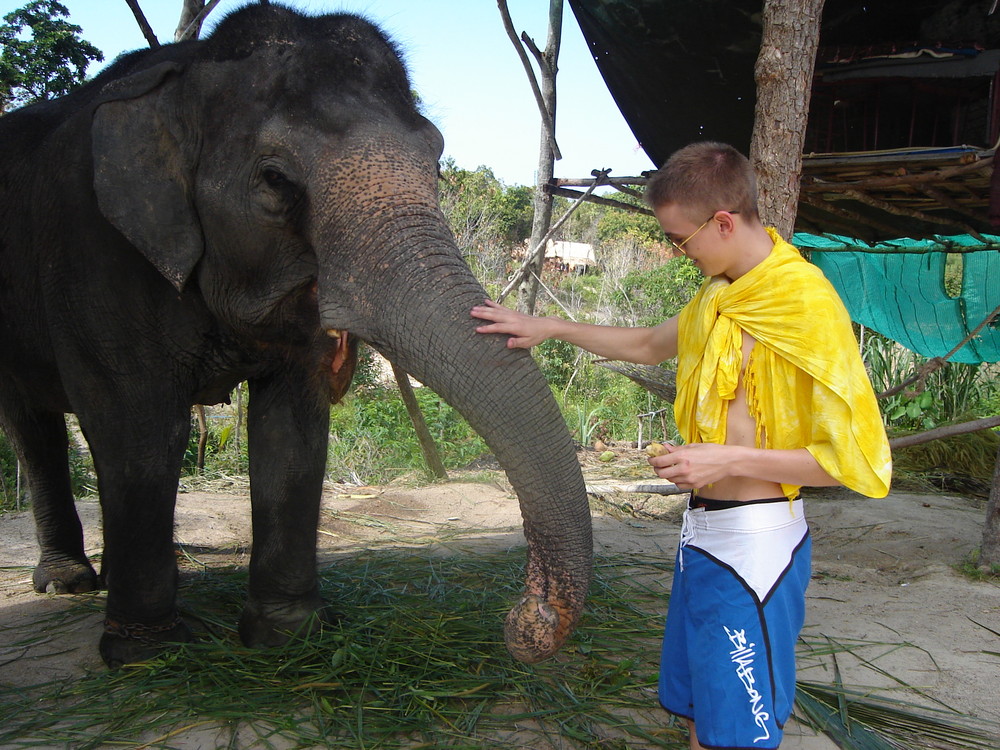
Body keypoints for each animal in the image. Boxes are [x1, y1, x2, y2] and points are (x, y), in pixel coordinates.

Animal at [0, 1, 592, 668]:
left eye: (437, 160)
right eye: (276, 180)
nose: (527, 617)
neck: (186, 72)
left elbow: (292, 429)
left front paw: (291, 636)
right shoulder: (93, 249)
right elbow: (140, 433)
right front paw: (152, 654)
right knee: (32, 425)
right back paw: (69, 584)